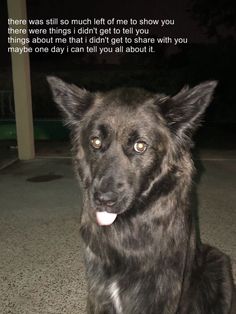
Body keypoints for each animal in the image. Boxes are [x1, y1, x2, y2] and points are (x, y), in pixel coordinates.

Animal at [47, 76, 234, 314]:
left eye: (140, 146)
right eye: (95, 142)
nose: (103, 200)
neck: (127, 231)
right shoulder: (99, 293)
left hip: (218, 262)